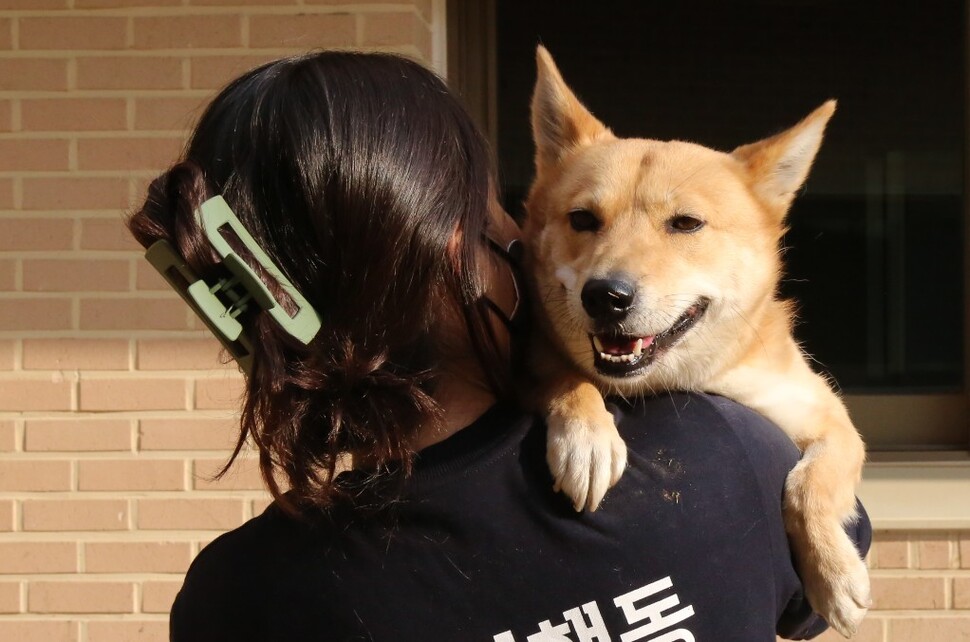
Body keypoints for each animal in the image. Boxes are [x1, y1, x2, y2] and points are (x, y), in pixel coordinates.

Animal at [520, 47, 868, 636]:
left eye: (685, 224)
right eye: (582, 219)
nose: (605, 296)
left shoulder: (829, 420)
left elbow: (809, 486)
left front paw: (834, 571)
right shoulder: (537, 355)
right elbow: (565, 378)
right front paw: (586, 437)